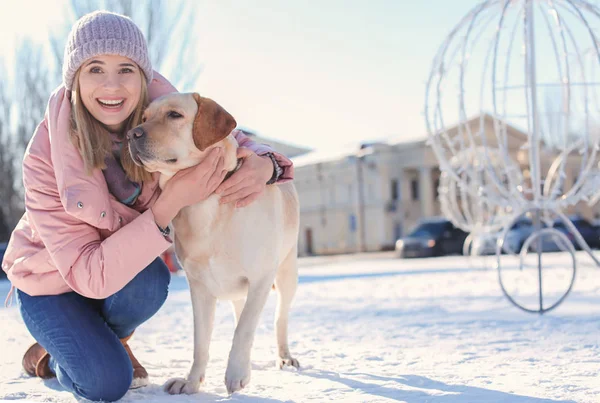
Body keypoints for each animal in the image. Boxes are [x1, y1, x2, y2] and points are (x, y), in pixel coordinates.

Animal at [129, 93, 302, 396]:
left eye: (174, 115)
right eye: (144, 117)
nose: (131, 134)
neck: (205, 203)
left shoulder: (260, 278)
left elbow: (244, 329)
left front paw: (235, 374)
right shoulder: (199, 287)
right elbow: (201, 342)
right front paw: (191, 382)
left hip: (286, 272)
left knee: (278, 317)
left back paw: (284, 357)